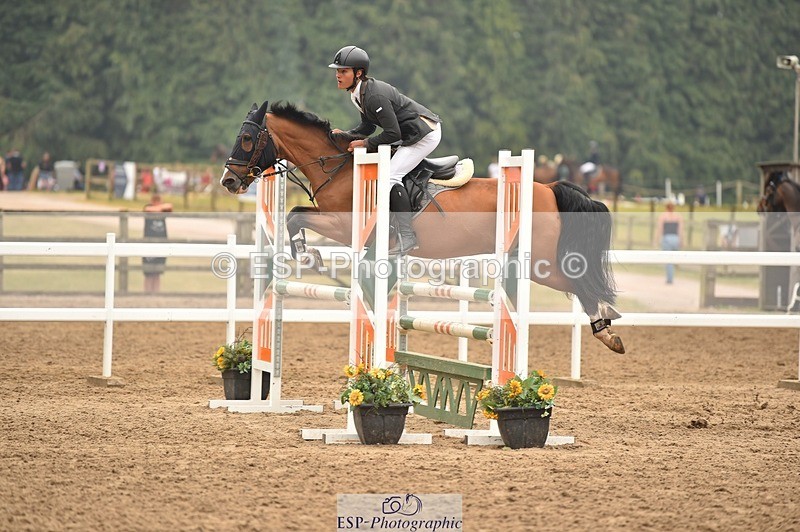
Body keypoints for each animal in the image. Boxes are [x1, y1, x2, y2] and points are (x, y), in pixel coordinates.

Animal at [220, 101, 625, 353]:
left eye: (247, 139)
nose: (228, 181)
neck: (339, 166)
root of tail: (549, 187)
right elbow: (295, 214)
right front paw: (308, 254)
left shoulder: (346, 224)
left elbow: (296, 216)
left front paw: (308, 255)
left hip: (541, 262)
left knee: (580, 283)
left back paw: (608, 334)